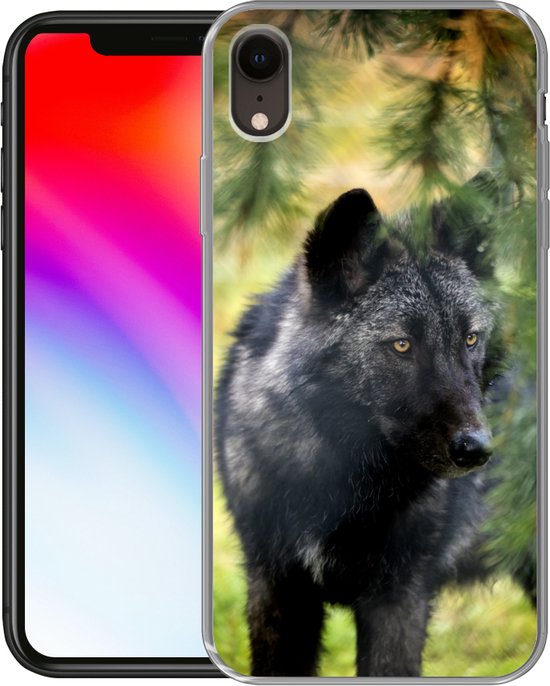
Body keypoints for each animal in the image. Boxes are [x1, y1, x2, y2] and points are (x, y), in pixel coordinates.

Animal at [215, 177, 503, 677]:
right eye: (402, 345)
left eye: (470, 338)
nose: (477, 448)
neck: (340, 483)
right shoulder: (276, 589)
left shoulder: (399, 600)